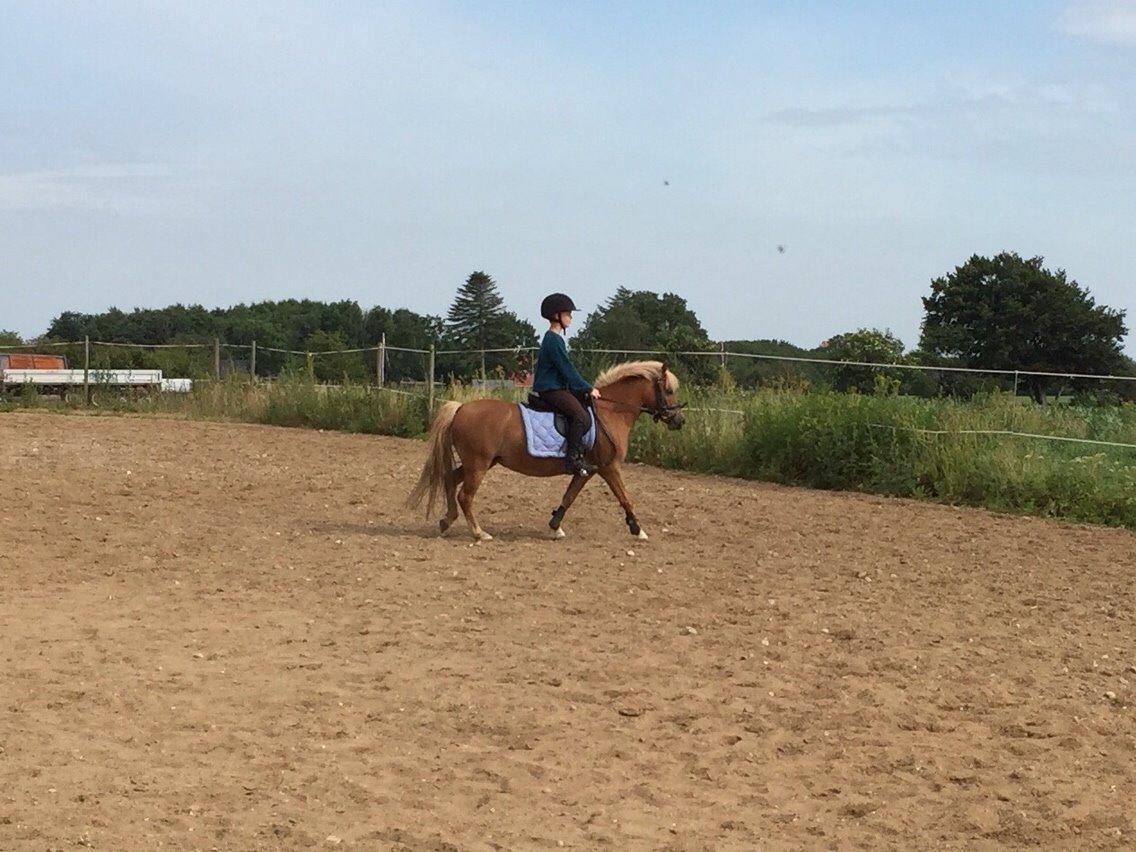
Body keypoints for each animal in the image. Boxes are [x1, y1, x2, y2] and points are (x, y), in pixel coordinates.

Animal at [407, 360, 685, 541]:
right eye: (669, 391)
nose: (679, 421)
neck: (611, 411)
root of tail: (461, 408)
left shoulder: (588, 470)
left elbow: (569, 497)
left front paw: (555, 526)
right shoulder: (609, 467)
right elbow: (625, 498)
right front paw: (638, 530)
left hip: (479, 462)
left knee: (450, 479)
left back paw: (446, 521)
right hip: (478, 464)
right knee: (465, 495)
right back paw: (479, 533)